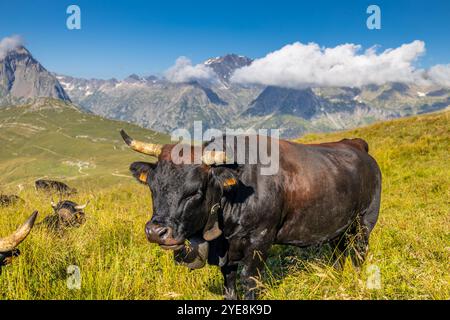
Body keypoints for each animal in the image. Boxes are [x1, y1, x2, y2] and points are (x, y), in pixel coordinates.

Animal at [118, 130, 380, 300]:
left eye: (196, 191)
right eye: (152, 187)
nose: (156, 231)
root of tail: (354, 144)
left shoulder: (260, 240)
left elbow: (249, 281)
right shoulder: (226, 252)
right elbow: (229, 283)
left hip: (365, 221)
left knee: (359, 253)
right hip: (337, 226)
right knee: (338, 254)